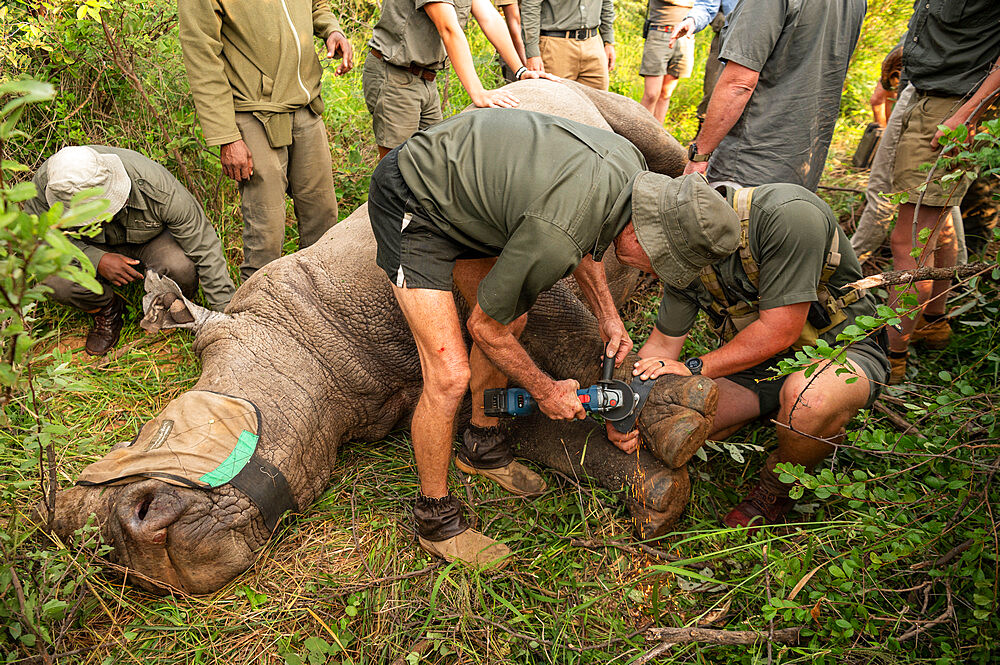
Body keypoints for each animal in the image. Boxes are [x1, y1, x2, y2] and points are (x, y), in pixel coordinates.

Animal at [47, 80, 720, 592]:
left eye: (158, 428)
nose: (128, 549)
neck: (313, 341)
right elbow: (537, 424)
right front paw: (658, 482)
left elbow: (563, 328)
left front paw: (669, 404)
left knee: (655, 149)